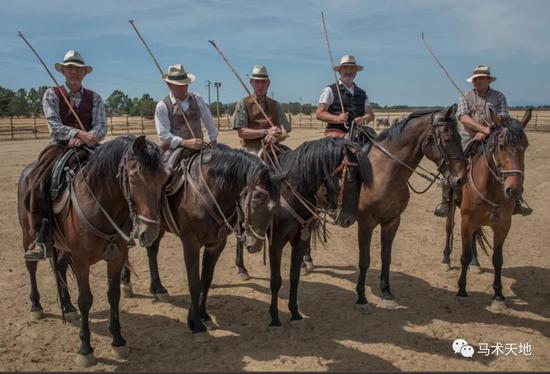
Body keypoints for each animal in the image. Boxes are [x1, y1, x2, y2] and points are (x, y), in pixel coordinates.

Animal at [18, 136, 167, 366]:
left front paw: (118, 341)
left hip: (62, 248)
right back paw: (36, 306)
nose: (149, 232)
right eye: (134, 178)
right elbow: (86, 300)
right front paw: (85, 349)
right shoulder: (81, 260)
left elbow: (113, 295)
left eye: (163, 178)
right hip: (28, 235)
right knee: (31, 265)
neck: (99, 203)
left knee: (59, 268)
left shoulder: (116, 256)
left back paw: (67, 308)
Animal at [122, 147, 282, 338]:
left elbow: (205, 280)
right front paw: (196, 324)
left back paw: (158, 289)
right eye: (256, 202)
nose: (255, 245)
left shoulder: (216, 244)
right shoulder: (191, 243)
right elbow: (194, 284)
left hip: (155, 227)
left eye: (274, 208)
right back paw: (126, 284)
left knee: (152, 250)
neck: (208, 192)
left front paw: (203, 315)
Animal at [444, 109, 536, 310]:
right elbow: (463, 255)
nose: (513, 190)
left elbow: (497, 259)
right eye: (501, 145)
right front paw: (462, 290)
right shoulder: (466, 220)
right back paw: (446, 259)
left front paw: (498, 295)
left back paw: (476, 262)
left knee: (474, 238)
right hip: (453, 210)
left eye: (525, 145)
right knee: (448, 228)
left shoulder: (503, 225)